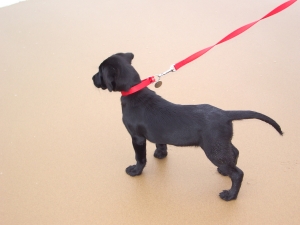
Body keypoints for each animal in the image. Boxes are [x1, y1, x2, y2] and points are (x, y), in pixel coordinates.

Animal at [92, 53, 284, 202]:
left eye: (100, 71)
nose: (92, 78)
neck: (134, 91)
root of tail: (225, 113)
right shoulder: (157, 134)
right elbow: (161, 143)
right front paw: (160, 155)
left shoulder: (137, 138)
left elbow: (140, 158)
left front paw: (135, 171)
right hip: (220, 143)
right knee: (234, 153)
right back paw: (224, 171)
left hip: (213, 148)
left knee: (238, 173)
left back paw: (230, 195)